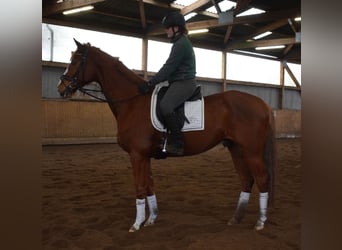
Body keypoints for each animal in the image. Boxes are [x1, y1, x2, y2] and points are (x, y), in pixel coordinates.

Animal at [56, 39, 276, 232]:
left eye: (75, 60)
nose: (61, 89)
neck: (133, 102)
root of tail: (262, 103)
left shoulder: (137, 155)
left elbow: (140, 186)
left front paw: (136, 224)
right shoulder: (144, 156)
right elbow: (149, 186)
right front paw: (151, 219)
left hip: (251, 151)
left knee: (262, 178)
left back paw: (260, 222)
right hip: (235, 148)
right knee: (247, 180)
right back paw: (236, 219)